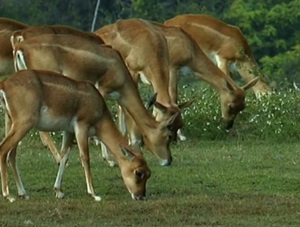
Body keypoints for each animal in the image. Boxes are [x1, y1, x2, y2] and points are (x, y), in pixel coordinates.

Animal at [0, 69, 151, 202]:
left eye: (149, 173)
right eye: (138, 172)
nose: (140, 196)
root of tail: (5, 83)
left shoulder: (69, 131)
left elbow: (64, 156)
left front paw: (58, 191)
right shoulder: (81, 127)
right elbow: (85, 157)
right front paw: (94, 194)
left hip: (12, 123)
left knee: (11, 154)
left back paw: (23, 193)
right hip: (24, 124)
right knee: (3, 149)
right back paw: (8, 195)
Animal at [12, 33, 176, 165]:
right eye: (168, 136)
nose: (169, 160)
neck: (118, 67)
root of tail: (21, 46)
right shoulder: (102, 91)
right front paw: (109, 159)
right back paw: (59, 159)